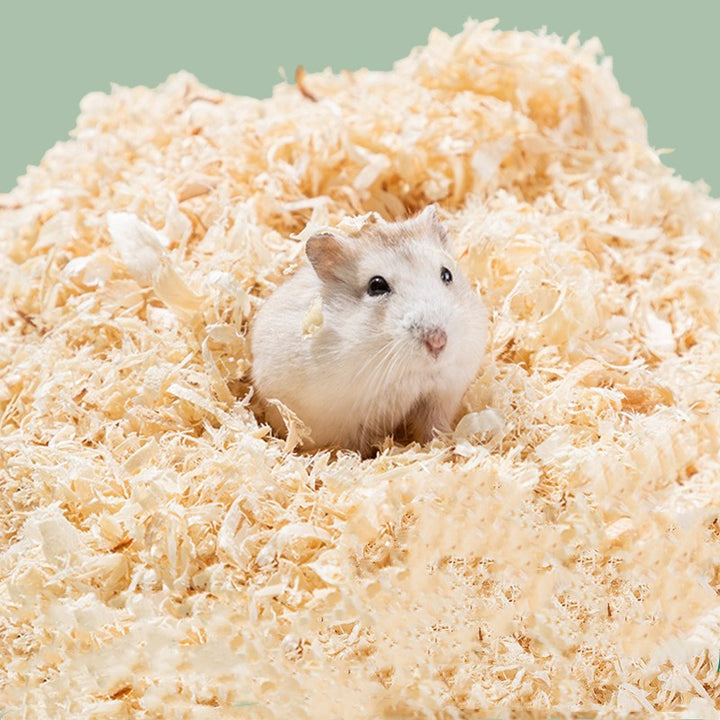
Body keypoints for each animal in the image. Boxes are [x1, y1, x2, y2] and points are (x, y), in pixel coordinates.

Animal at [250, 205, 487, 456]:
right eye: (376, 285)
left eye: (447, 274)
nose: (438, 341)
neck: (414, 373)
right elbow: (358, 449)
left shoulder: (440, 397)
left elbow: (434, 429)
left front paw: (441, 446)